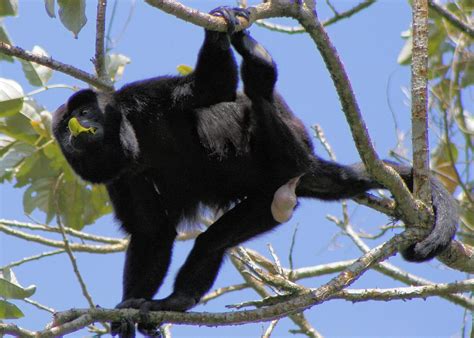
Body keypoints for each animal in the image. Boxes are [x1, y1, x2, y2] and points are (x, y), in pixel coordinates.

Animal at [53, 5, 458, 338]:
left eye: (86, 111)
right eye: (66, 128)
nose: (78, 126)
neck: (133, 136)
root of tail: (307, 163)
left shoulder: (139, 97)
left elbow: (210, 89)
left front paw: (218, 28)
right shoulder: (121, 176)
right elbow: (152, 231)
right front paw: (127, 308)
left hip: (289, 149)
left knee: (256, 102)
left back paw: (261, 70)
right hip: (268, 203)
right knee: (212, 242)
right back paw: (177, 301)